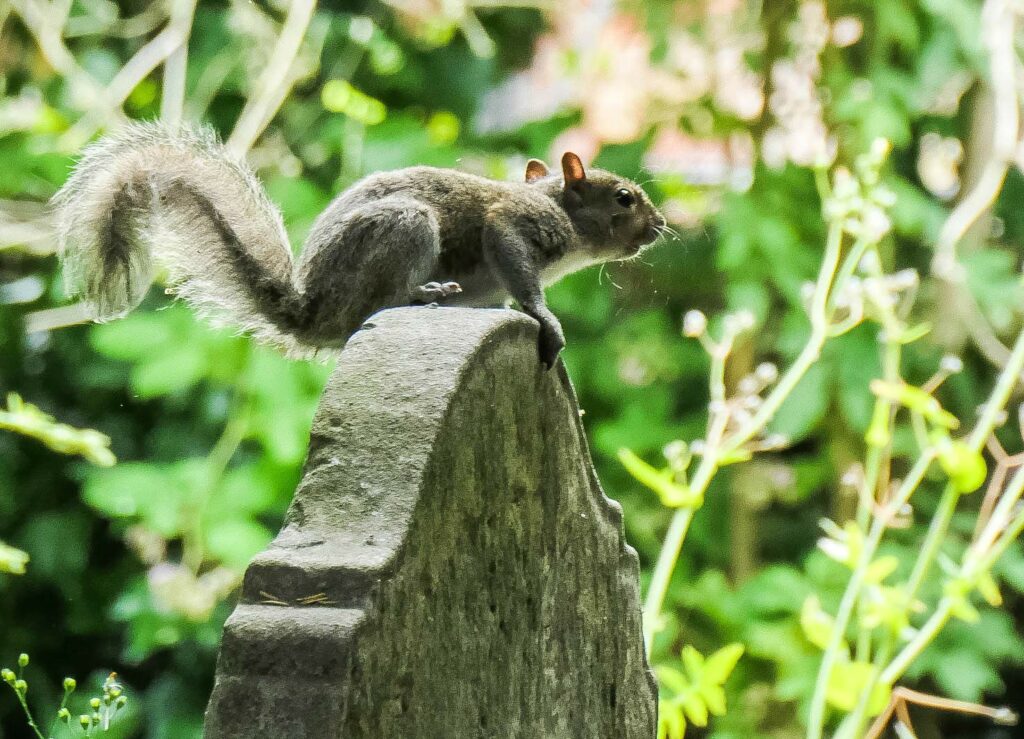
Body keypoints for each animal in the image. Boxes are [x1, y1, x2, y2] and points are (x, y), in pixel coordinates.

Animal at [53, 123, 667, 368]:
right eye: (624, 198)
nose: (661, 224)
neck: (559, 207)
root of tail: (310, 311)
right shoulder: (515, 223)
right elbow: (516, 264)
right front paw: (546, 319)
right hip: (404, 227)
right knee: (372, 308)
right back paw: (421, 294)